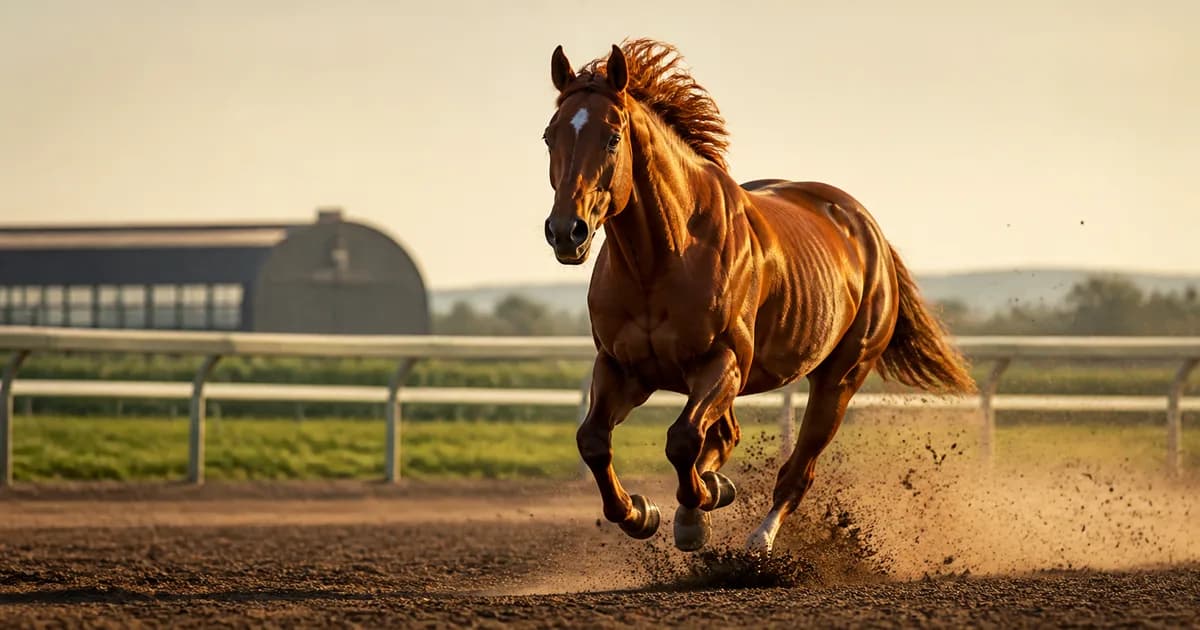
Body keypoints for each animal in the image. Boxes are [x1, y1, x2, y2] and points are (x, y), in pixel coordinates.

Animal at [541, 39, 975, 553]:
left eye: (612, 137)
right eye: (549, 137)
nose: (566, 231)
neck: (663, 259)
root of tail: (868, 232)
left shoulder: (723, 361)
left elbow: (682, 438)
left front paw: (693, 518)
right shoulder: (622, 367)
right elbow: (593, 440)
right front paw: (641, 513)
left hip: (841, 378)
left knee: (796, 471)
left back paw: (757, 539)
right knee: (726, 436)